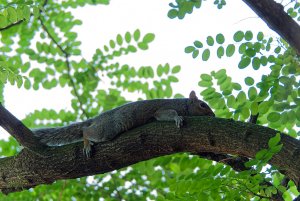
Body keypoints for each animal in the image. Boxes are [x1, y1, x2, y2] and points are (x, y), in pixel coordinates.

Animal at [34, 90, 214, 158]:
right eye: (202, 105)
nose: (213, 115)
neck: (183, 104)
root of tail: (97, 120)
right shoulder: (163, 109)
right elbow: (165, 114)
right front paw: (177, 118)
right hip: (107, 129)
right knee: (86, 130)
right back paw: (86, 142)